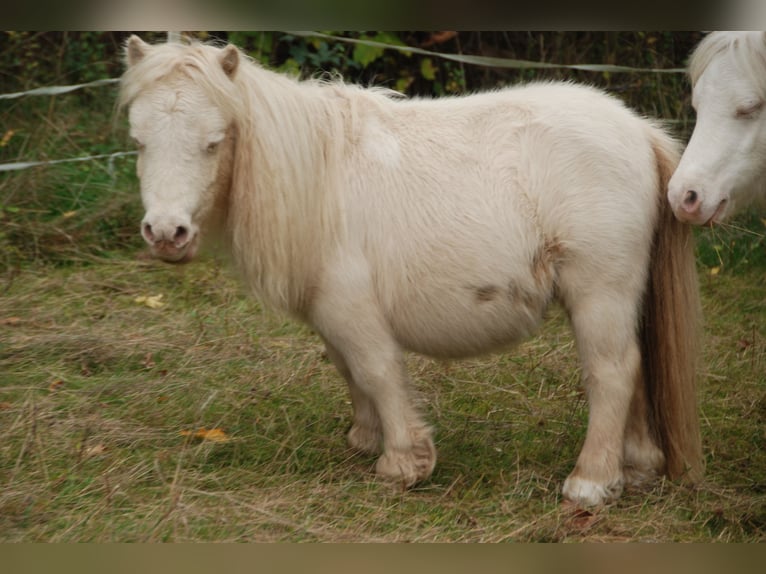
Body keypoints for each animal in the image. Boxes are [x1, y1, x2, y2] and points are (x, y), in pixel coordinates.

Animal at [119, 35, 703, 508]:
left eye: (213, 141)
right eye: (139, 141)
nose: (166, 233)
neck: (318, 176)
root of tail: (640, 132)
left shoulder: (352, 308)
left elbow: (377, 371)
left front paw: (403, 461)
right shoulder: (331, 313)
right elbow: (349, 370)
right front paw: (365, 439)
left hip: (599, 294)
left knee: (613, 371)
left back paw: (590, 482)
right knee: (634, 369)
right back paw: (633, 468)